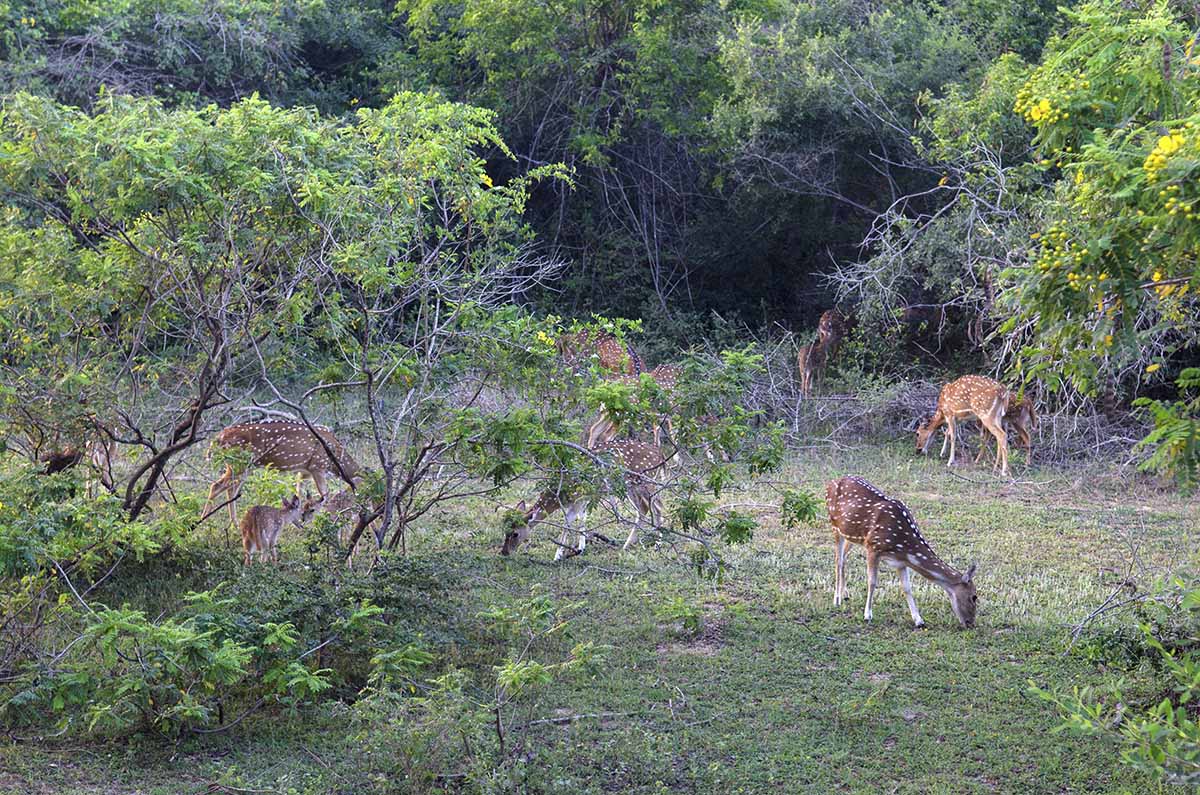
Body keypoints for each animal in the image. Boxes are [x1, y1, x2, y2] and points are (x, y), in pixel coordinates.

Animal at [204, 422, 360, 528]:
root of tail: (218, 438)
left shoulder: (304, 471)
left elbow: (299, 494)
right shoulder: (318, 466)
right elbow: (324, 496)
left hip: (243, 467)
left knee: (230, 489)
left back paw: (233, 524)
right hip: (240, 463)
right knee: (217, 486)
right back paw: (206, 520)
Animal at [496, 439, 667, 564]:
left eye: (515, 534)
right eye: (504, 530)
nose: (504, 552)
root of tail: (660, 454)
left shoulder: (578, 497)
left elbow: (568, 521)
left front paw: (558, 555)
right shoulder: (584, 498)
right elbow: (582, 518)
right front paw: (581, 547)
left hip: (646, 481)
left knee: (657, 508)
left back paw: (657, 545)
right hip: (631, 486)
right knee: (643, 509)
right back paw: (627, 545)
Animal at [830, 475, 979, 634]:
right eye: (974, 597)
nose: (971, 623)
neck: (903, 544)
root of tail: (833, 481)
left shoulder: (900, 561)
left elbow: (907, 588)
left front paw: (919, 621)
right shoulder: (872, 547)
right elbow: (872, 581)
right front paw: (867, 615)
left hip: (851, 536)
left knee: (844, 558)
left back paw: (845, 594)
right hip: (835, 526)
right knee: (838, 560)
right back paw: (837, 599)